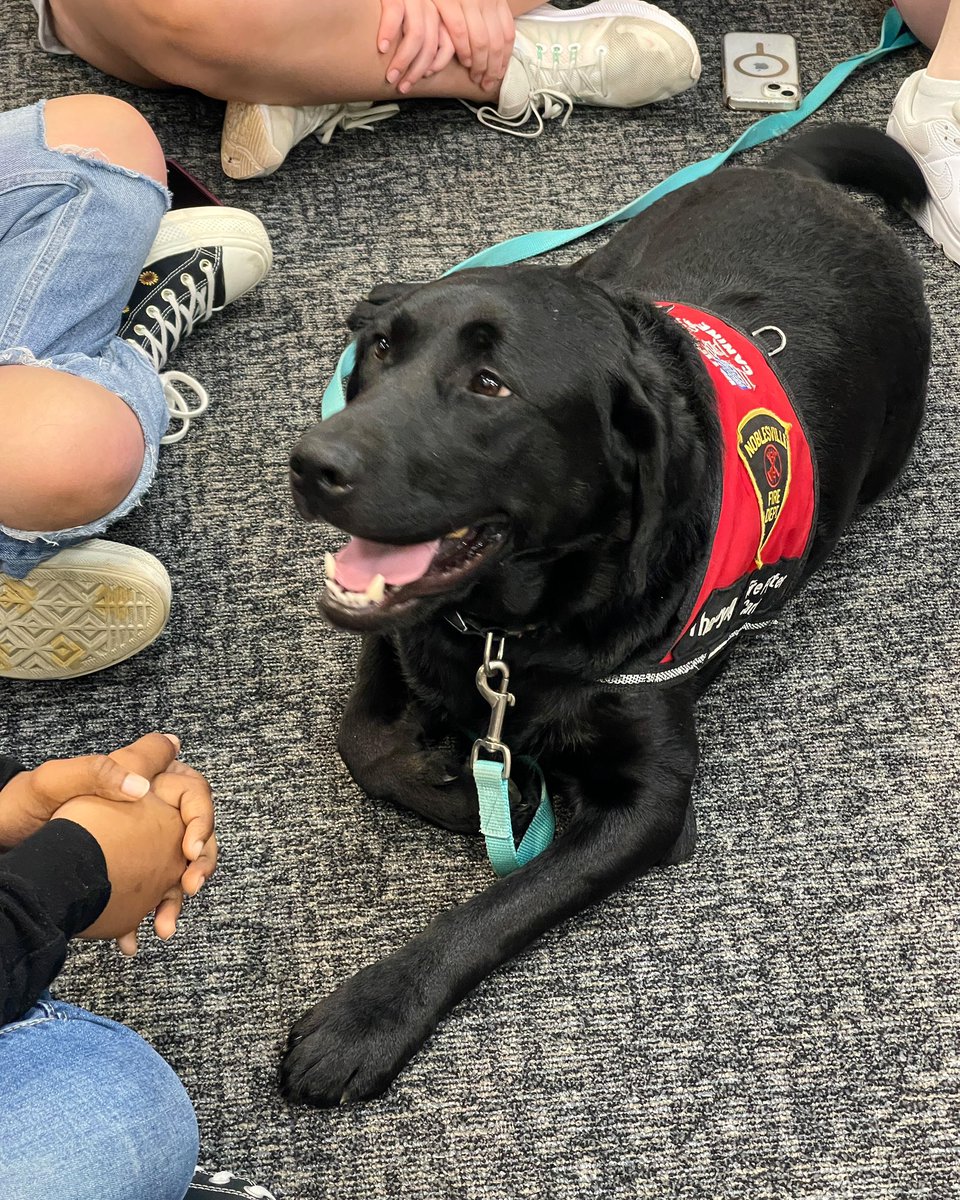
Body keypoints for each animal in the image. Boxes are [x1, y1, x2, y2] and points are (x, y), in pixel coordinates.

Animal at [283, 124, 931, 1104]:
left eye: (490, 384)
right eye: (380, 352)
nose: (310, 462)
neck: (511, 631)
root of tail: (799, 176)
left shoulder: (650, 800)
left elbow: (499, 905)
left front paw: (369, 1014)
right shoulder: (400, 636)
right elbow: (363, 743)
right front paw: (465, 792)